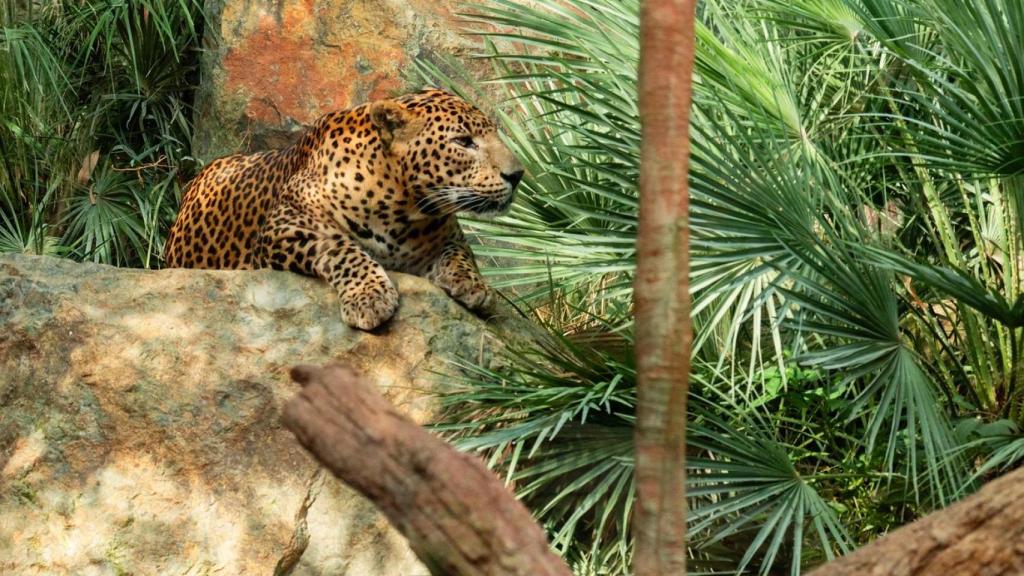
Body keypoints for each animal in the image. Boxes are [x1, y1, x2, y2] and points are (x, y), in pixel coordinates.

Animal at [164, 90, 528, 332]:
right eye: (464, 142)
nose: (518, 174)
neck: (405, 209)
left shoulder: (448, 235)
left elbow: (459, 255)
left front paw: (475, 286)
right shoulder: (286, 224)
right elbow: (343, 249)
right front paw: (370, 297)